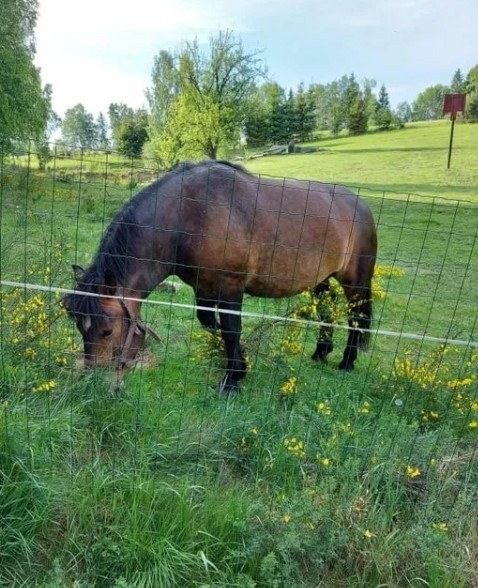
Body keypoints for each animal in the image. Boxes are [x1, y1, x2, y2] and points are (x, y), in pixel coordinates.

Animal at [63, 158, 378, 392]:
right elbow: (211, 324)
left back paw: (347, 361)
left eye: (107, 330)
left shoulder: (230, 288)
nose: (94, 382)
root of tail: (360, 205)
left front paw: (231, 381)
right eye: (79, 326)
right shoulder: (203, 288)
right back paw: (321, 352)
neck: (188, 215)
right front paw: (241, 365)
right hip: (321, 280)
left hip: (355, 281)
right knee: (327, 308)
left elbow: (230, 330)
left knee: (356, 316)